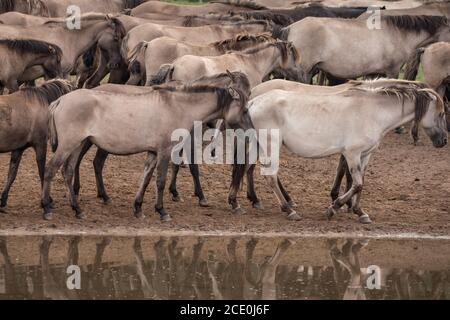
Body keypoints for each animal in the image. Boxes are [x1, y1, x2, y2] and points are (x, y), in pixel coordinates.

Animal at [0, 79, 73, 211]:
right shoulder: (40, 145)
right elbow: (42, 172)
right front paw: (48, 201)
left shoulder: (18, 149)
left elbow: (11, 174)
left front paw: (3, 199)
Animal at [230, 79, 448, 224]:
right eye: (441, 113)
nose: (444, 141)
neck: (373, 111)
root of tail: (253, 102)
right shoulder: (351, 154)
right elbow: (357, 183)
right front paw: (334, 207)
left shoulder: (365, 155)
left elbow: (361, 183)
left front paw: (359, 211)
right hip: (271, 145)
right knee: (269, 175)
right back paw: (288, 209)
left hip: (257, 145)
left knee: (247, 168)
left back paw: (240, 203)